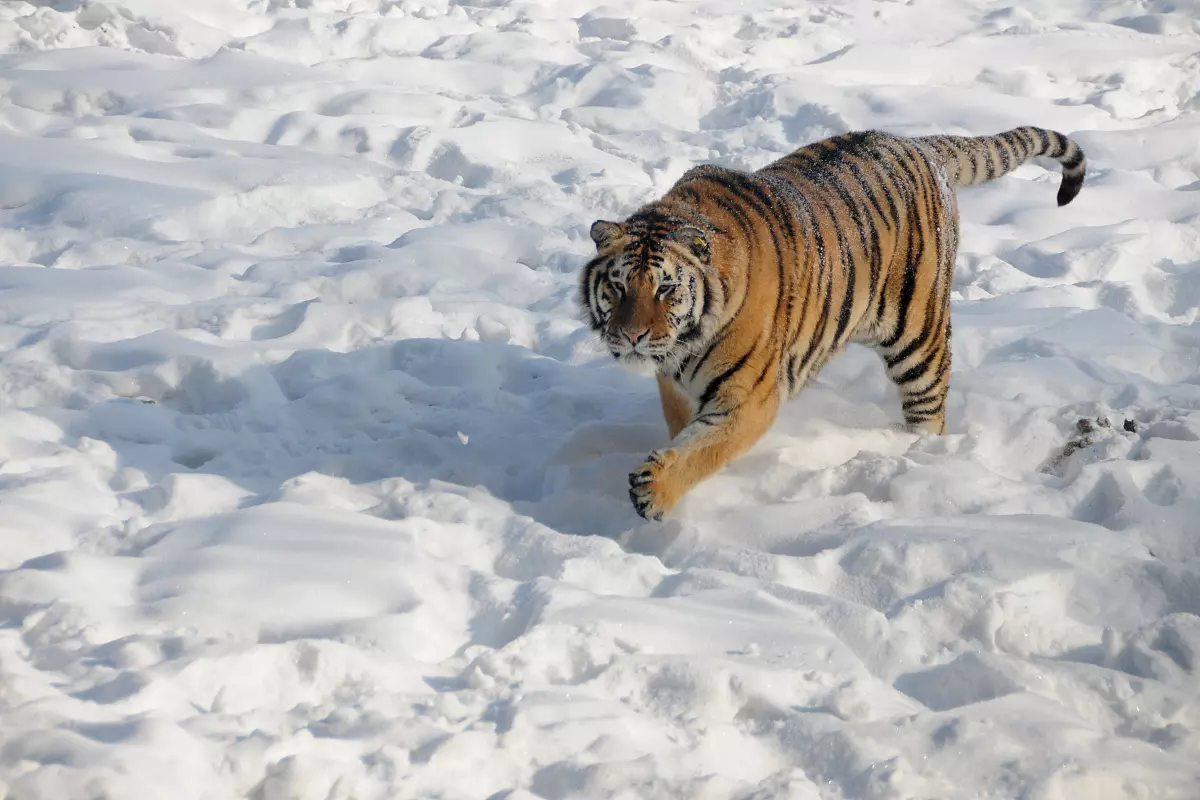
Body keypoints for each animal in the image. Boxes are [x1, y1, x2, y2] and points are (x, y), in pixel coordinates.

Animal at [578, 125, 1089, 520]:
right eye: (618, 287)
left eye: (665, 289)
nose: (632, 335)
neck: (684, 346)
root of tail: (918, 143)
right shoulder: (675, 385)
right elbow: (684, 431)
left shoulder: (747, 398)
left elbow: (704, 447)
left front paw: (655, 490)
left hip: (918, 337)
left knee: (928, 410)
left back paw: (917, 458)